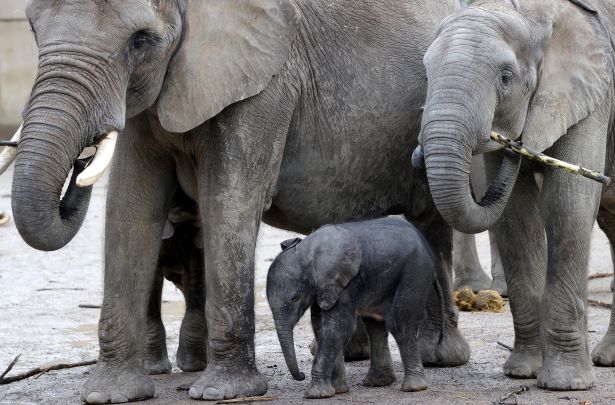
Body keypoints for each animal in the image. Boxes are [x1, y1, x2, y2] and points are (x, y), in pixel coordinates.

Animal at [266, 216, 442, 396]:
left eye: (295, 299)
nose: (301, 375)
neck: (308, 250)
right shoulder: (321, 287)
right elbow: (321, 326)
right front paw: (337, 391)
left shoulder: (346, 282)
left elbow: (338, 327)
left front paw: (317, 395)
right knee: (375, 326)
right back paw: (377, 383)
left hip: (414, 273)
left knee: (400, 325)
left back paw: (414, 388)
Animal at [422, 0, 615, 392]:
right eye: (427, 74)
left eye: (506, 78)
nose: (514, 141)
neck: (529, 13)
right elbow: (515, 214)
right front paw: (522, 372)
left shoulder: (593, 96)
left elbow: (568, 203)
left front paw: (566, 384)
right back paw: (607, 359)